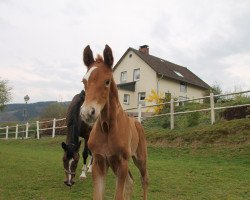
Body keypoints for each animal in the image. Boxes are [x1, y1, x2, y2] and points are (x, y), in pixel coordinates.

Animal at [79, 45, 148, 200]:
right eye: (84, 81)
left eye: (107, 81)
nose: (87, 112)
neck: (107, 128)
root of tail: (138, 123)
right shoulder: (99, 162)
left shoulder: (122, 162)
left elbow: (118, 195)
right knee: (130, 182)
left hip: (140, 159)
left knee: (144, 180)